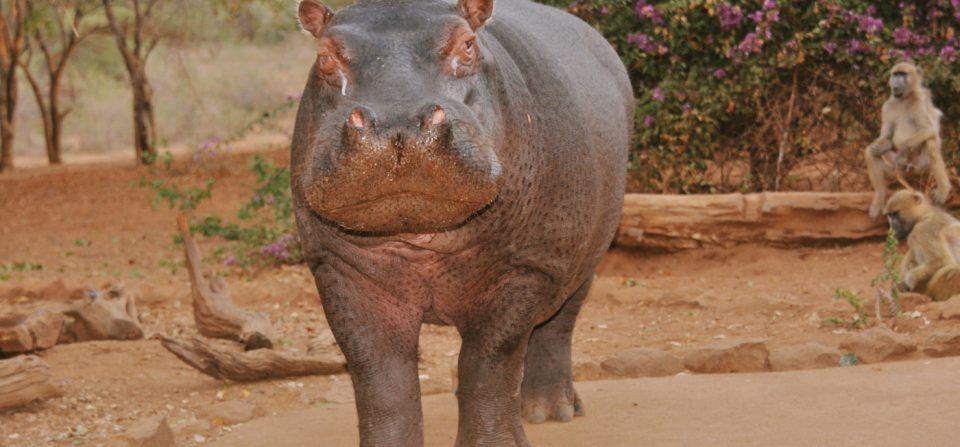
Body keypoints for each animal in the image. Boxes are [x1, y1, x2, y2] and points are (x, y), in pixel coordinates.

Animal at [290, 0, 632, 444]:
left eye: (468, 44)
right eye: (324, 55)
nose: (397, 122)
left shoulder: (525, 269)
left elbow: (488, 363)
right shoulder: (339, 269)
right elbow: (380, 377)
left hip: (580, 255)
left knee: (558, 323)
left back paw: (549, 409)